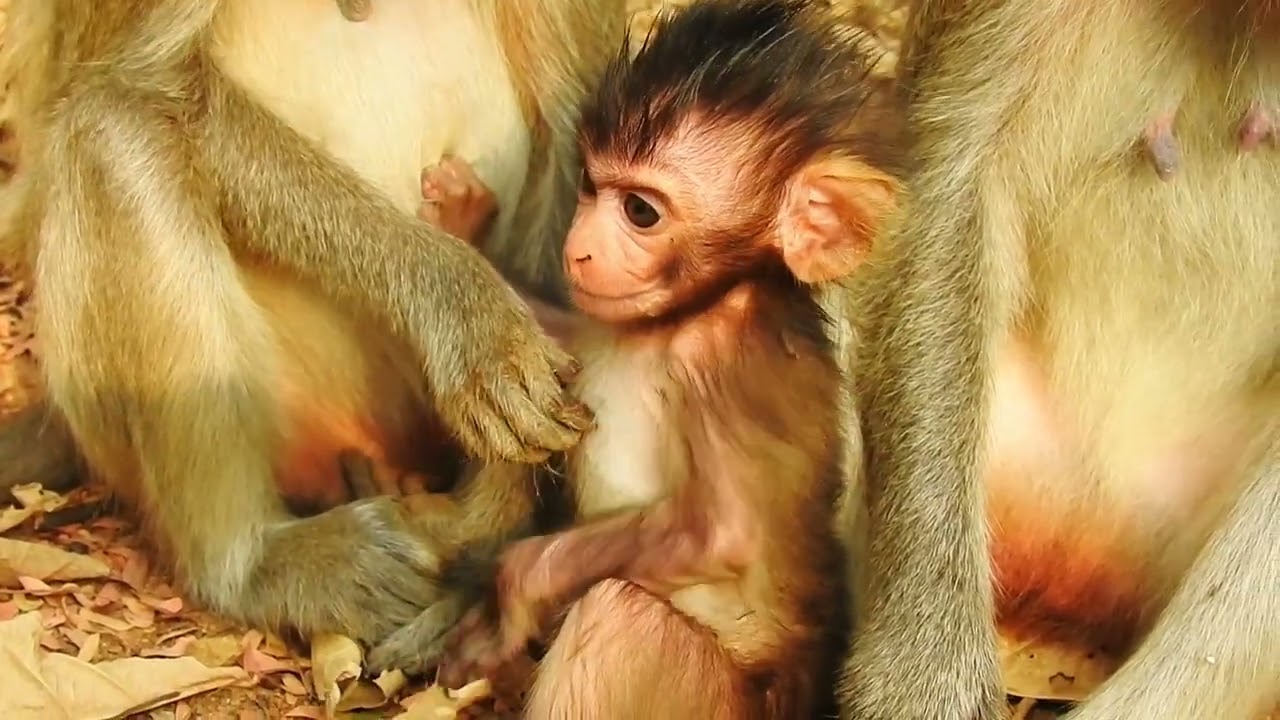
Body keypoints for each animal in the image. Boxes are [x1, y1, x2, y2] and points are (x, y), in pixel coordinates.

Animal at [0, 0, 626, 650]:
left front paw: (497, 518)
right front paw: (459, 303)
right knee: (114, 124)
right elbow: (147, 77)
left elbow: (568, 113)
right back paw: (247, 565)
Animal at [358, 3, 903, 718]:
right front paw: (463, 226)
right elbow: (567, 336)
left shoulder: (725, 359)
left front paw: (509, 590)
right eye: (591, 186)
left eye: (640, 211)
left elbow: (721, 534)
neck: (684, 316)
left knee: (620, 613)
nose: (580, 247)